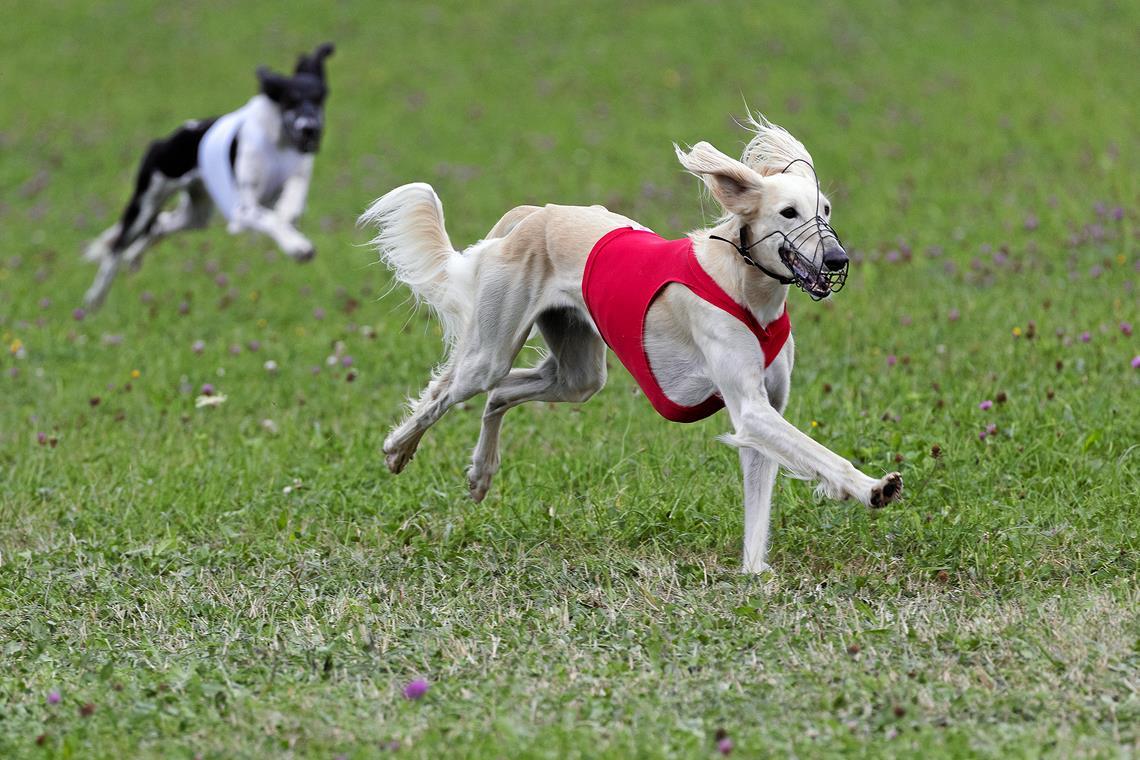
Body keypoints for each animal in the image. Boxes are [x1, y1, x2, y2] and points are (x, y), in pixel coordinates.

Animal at [83, 41, 332, 307]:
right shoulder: (243, 210)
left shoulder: (297, 175)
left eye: (319, 99)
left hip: (195, 216)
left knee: (160, 225)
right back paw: (94, 299)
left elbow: (292, 202)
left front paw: (290, 221)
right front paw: (298, 246)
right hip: (144, 206)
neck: (279, 142)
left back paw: (134, 257)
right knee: (116, 248)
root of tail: (165, 140)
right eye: (290, 101)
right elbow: (270, 219)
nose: (309, 129)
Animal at [360, 117, 902, 569]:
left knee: (500, 395)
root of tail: (537, 214)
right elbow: (822, 456)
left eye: (825, 209)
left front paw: (752, 576)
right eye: (789, 213)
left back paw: (480, 473)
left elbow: (758, 508)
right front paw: (874, 487)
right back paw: (396, 449)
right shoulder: (751, 409)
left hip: (579, 374)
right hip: (489, 353)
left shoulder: (765, 408)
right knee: (450, 389)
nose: (837, 258)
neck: (746, 288)